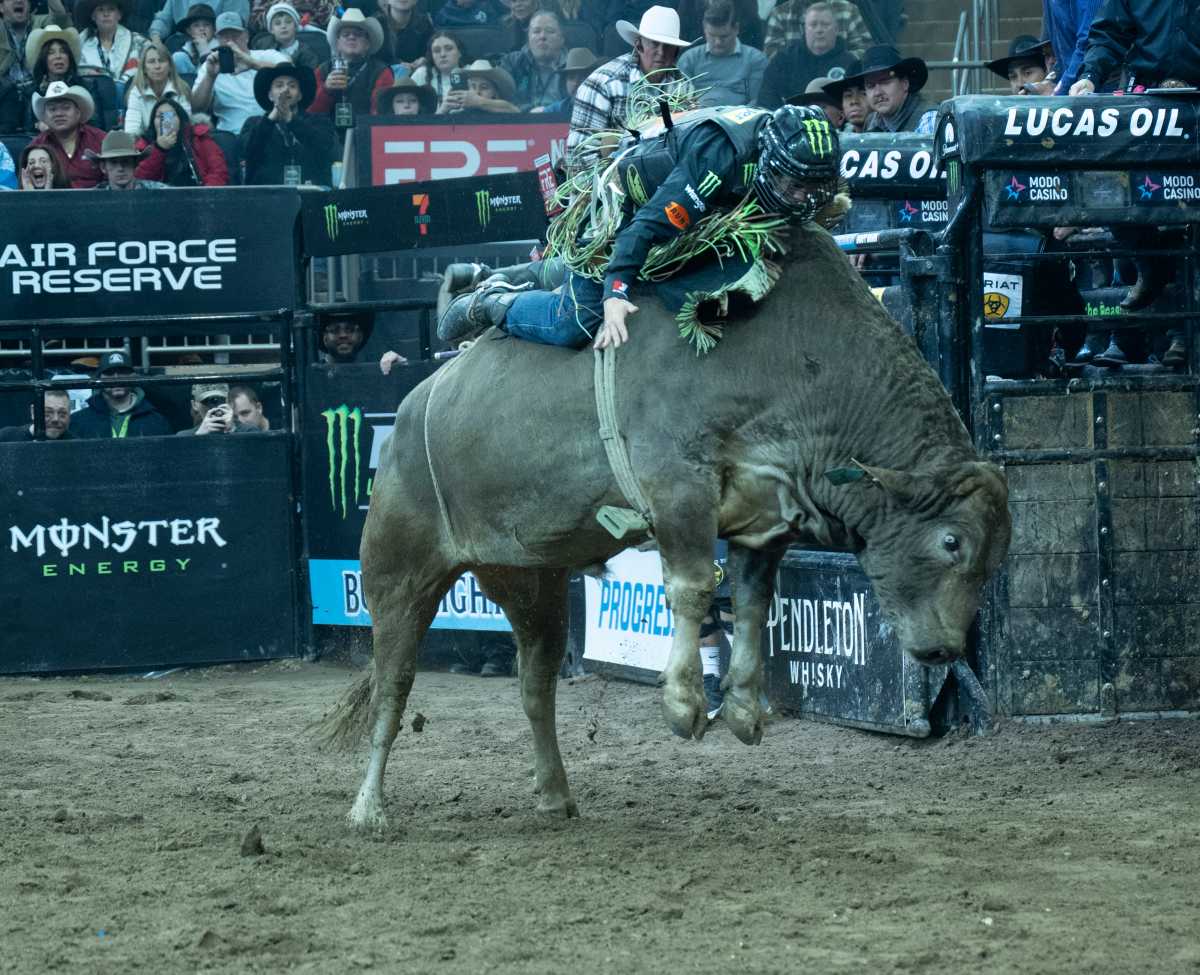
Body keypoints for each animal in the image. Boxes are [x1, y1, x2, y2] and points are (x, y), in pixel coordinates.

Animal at [316, 222, 1011, 830]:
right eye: (951, 541)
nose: (946, 649)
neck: (798, 361)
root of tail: (412, 408)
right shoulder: (678, 486)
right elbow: (693, 587)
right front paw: (684, 704)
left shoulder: (765, 518)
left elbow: (753, 601)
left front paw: (743, 709)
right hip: (398, 566)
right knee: (394, 683)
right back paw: (368, 808)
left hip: (528, 578)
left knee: (536, 683)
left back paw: (555, 794)